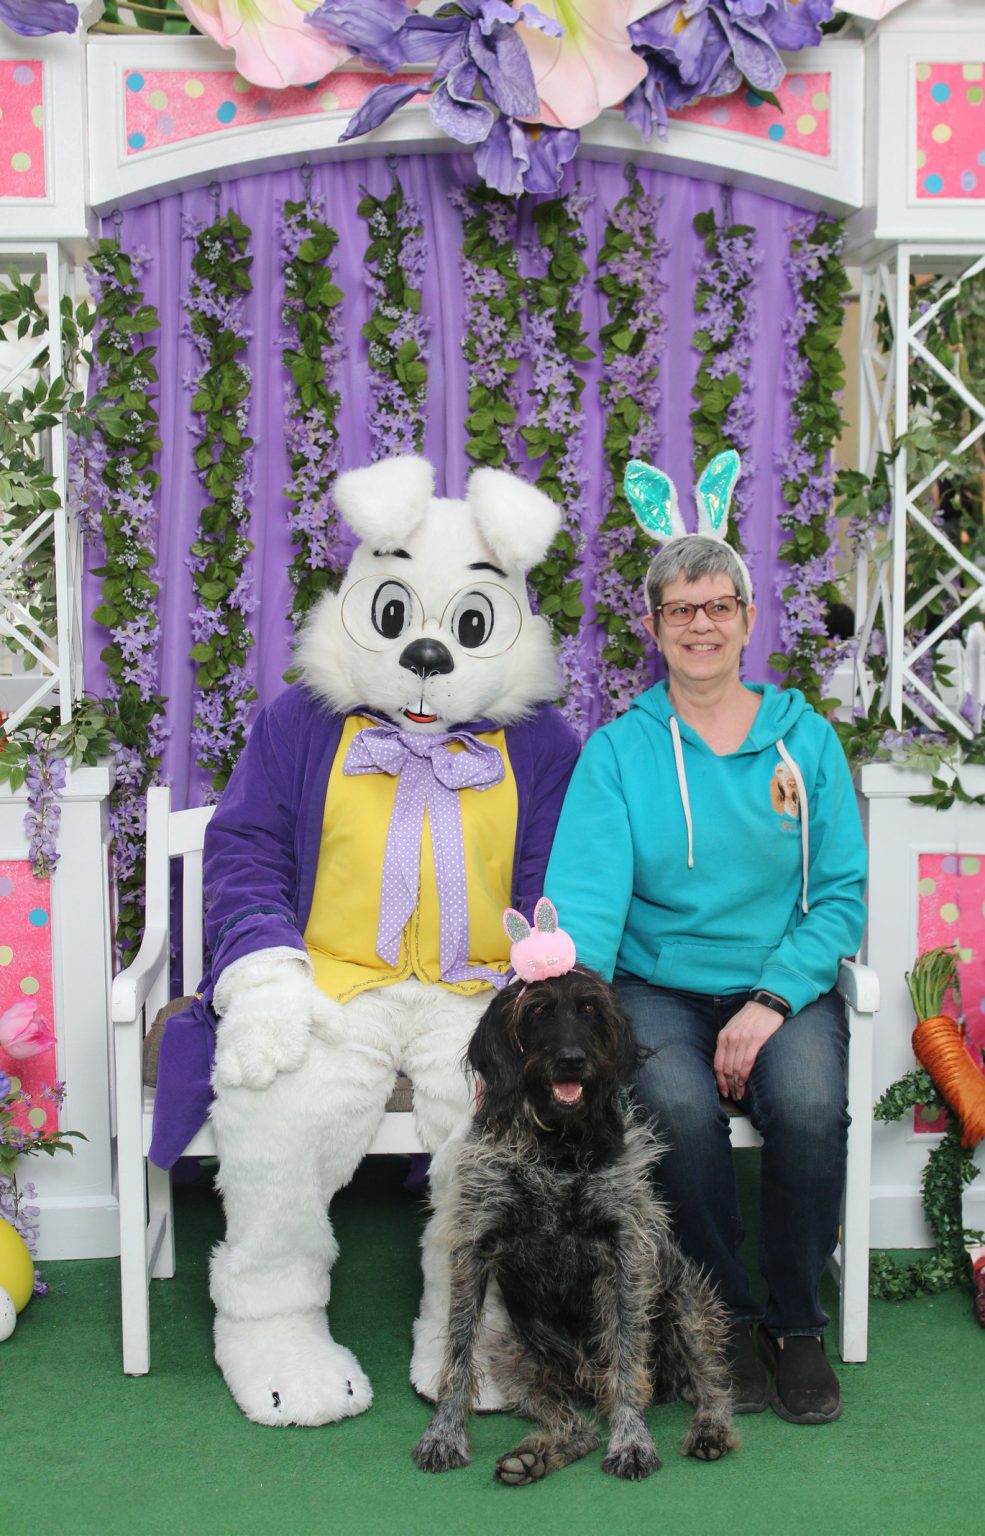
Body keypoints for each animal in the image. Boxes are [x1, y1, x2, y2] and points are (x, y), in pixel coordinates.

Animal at [411, 965, 737, 1485]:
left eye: (589, 1008)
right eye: (537, 1010)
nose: (571, 1060)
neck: (556, 1148)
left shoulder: (626, 1255)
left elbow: (626, 1359)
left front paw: (632, 1442)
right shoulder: (474, 1249)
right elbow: (458, 1352)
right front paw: (442, 1434)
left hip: (685, 1305)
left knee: (711, 1383)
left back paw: (710, 1430)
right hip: (517, 1358)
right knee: (577, 1427)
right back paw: (534, 1457)